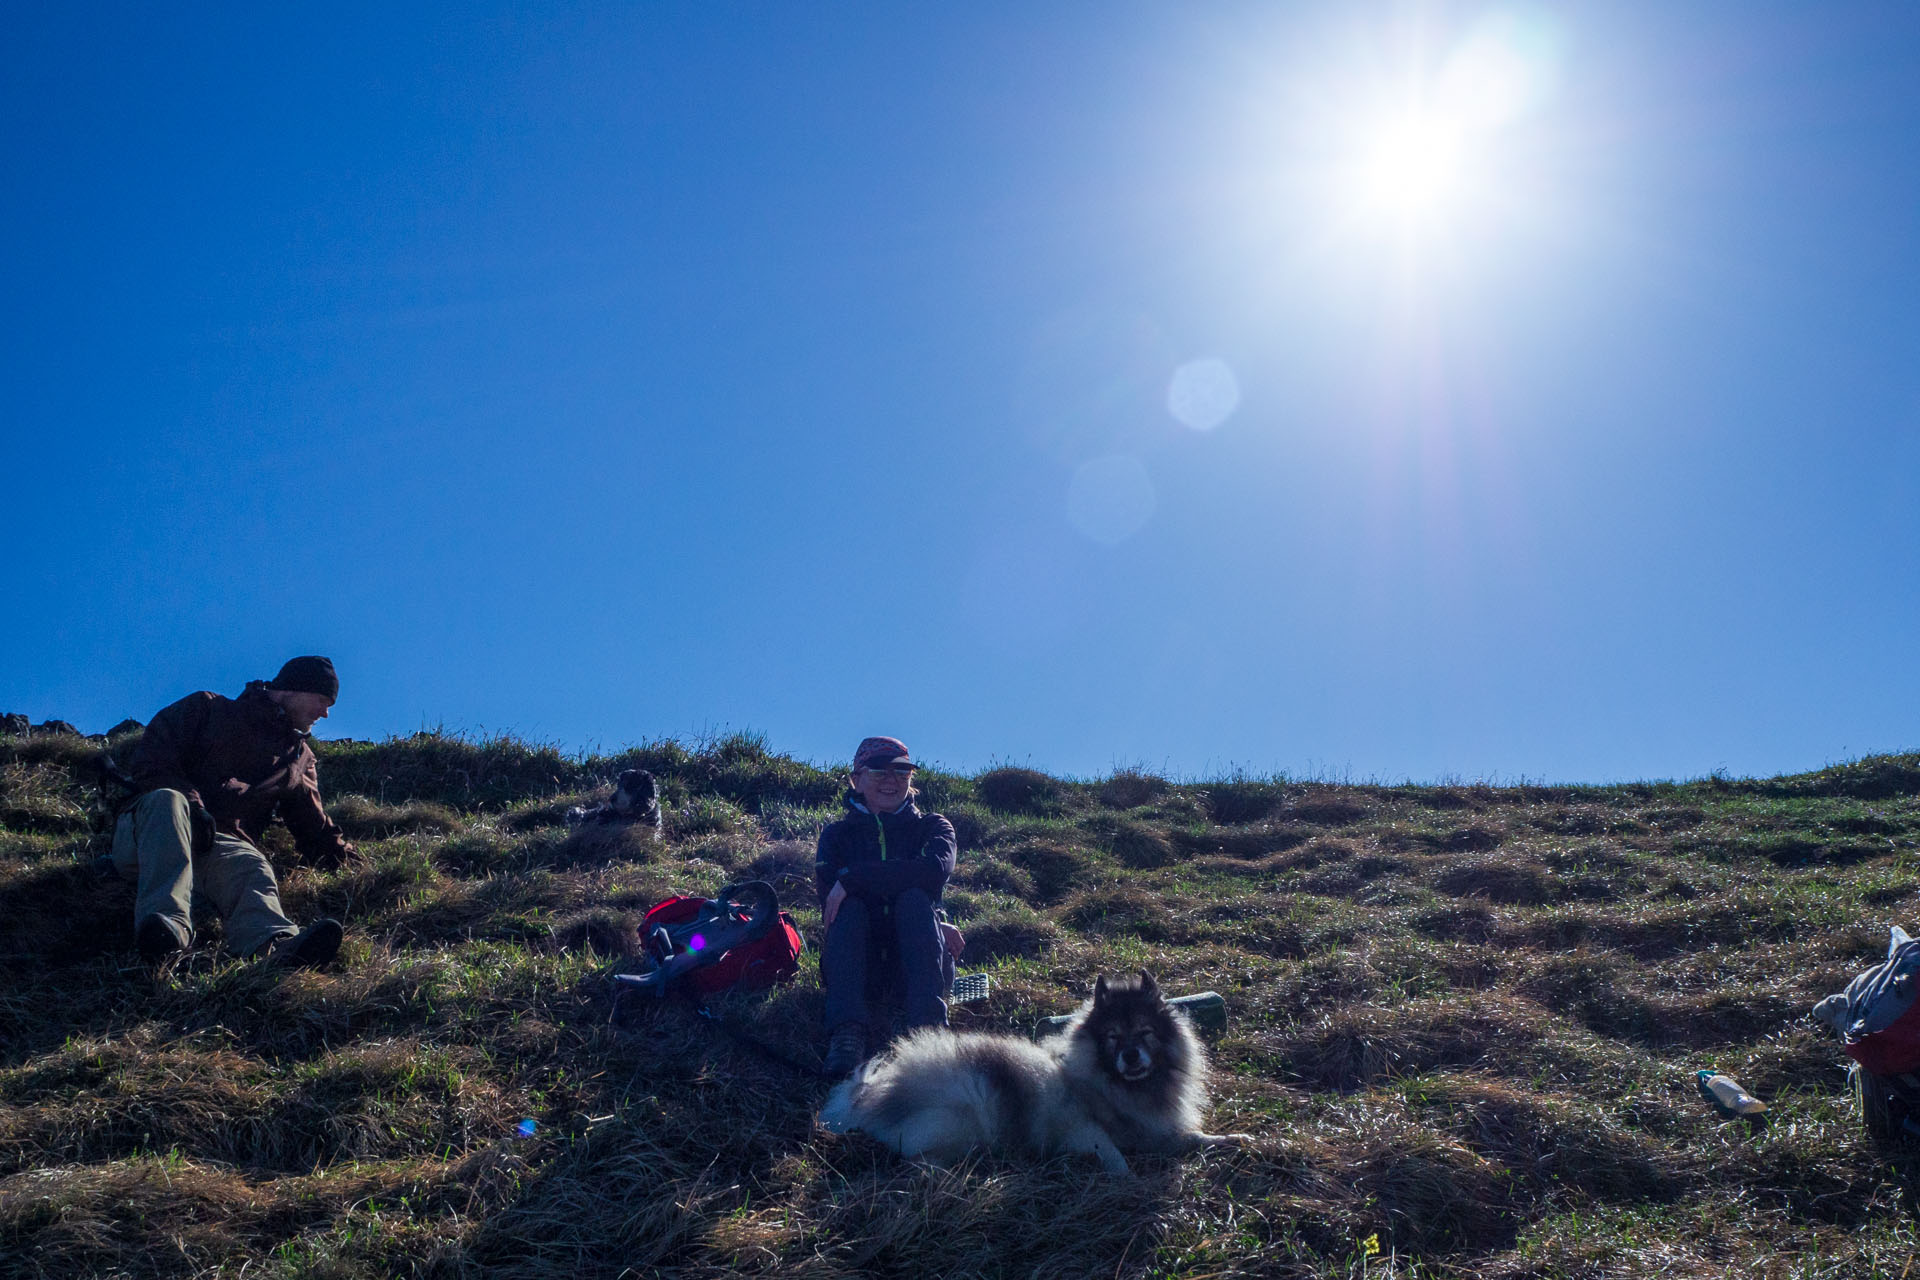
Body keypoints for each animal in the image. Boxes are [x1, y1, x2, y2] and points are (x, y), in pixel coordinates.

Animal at [821, 971, 1244, 1174]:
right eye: (1112, 1037)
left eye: (1145, 1032)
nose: (1130, 1055)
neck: (1113, 1090)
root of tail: (875, 1096)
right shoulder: (1081, 1129)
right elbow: (1113, 1155)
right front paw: (1129, 1180)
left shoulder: (1156, 1132)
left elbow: (1195, 1138)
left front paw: (1233, 1139)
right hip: (965, 1116)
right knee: (917, 1161)